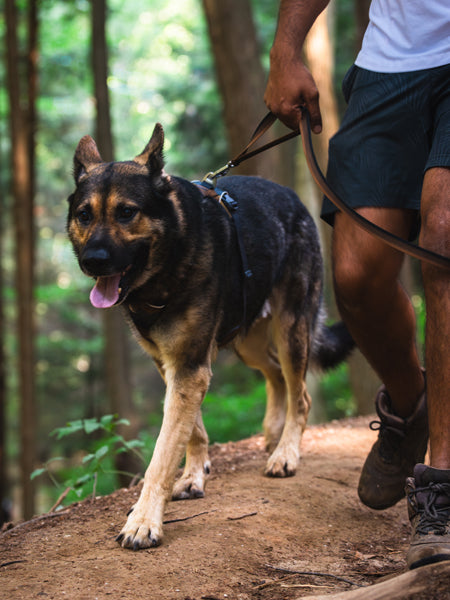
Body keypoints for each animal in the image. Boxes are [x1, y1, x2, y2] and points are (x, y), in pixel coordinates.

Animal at [67, 124, 356, 552]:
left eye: (126, 212)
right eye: (84, 215)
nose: (93, 261)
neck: (169, 260)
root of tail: (293, 198)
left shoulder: (189, 368)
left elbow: (162, 452)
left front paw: (145, 519)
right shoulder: (174, 366)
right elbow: (192, 431)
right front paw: (192, 476)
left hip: (290, 330)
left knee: (300, 394)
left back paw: (286, 453)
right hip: (248, 342)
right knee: (274, 374)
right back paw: (273, 434)